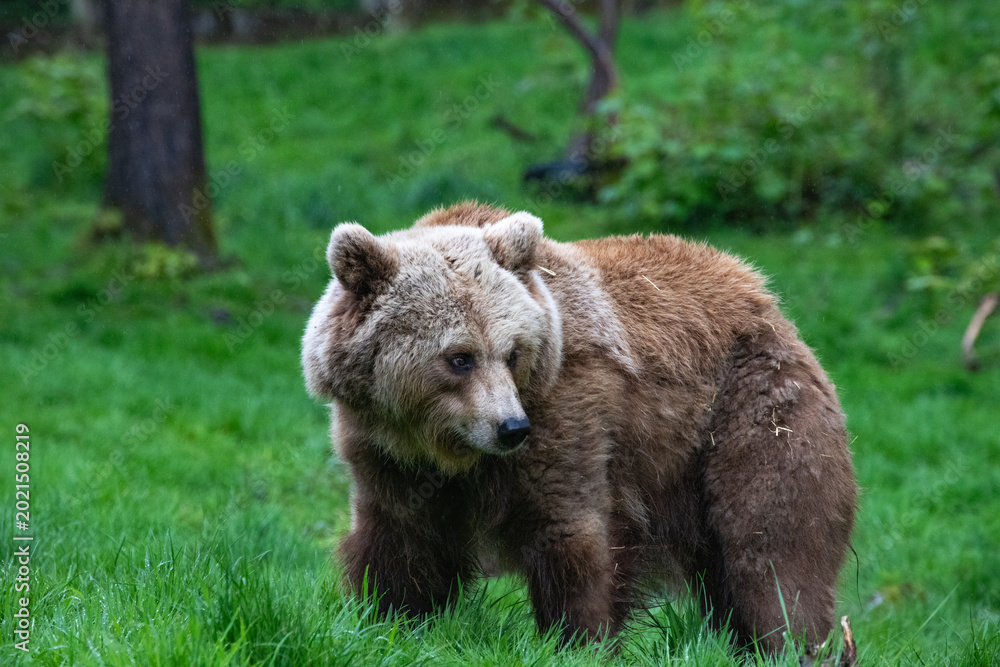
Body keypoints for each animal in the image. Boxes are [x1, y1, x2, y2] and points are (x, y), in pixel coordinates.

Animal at [302, 201, 856, 654]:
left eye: (512, 353)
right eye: (460, 357)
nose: (511, 427)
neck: (448, 448)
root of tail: (765, 297)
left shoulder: (568, 416)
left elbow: (573, 538)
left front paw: (578, 639)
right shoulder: (385, 453)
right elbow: (400, 546)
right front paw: (388, 622)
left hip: (750, 415)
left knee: (771, 552)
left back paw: (789, 642)